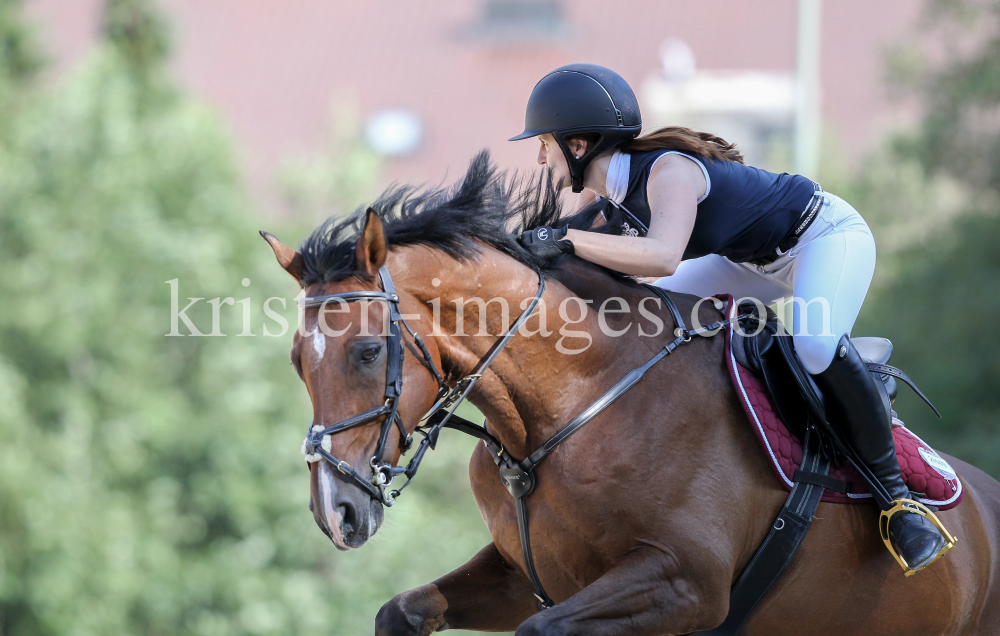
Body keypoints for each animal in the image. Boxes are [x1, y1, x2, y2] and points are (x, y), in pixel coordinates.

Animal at [264, 154, 1000, 636]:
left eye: (367, 352)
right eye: (299, 361)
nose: (336, 513)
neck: (568, 406)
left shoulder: (683, 583)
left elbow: (545, 631)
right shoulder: (523, 576)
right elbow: (404, 610)